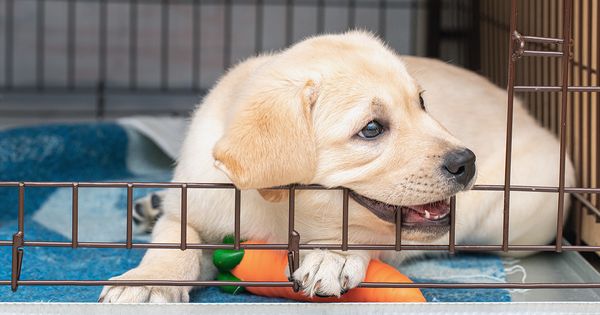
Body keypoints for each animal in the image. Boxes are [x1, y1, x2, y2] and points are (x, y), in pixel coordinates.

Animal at [99, 31, 576, 304]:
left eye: (422, 103)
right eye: (371, 129)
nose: (467, 161)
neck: (280, 213)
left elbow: (363, 233)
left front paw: (334, 255)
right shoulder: (196, 202)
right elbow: (174, 241)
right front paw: (147, 281)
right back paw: (150, 205)